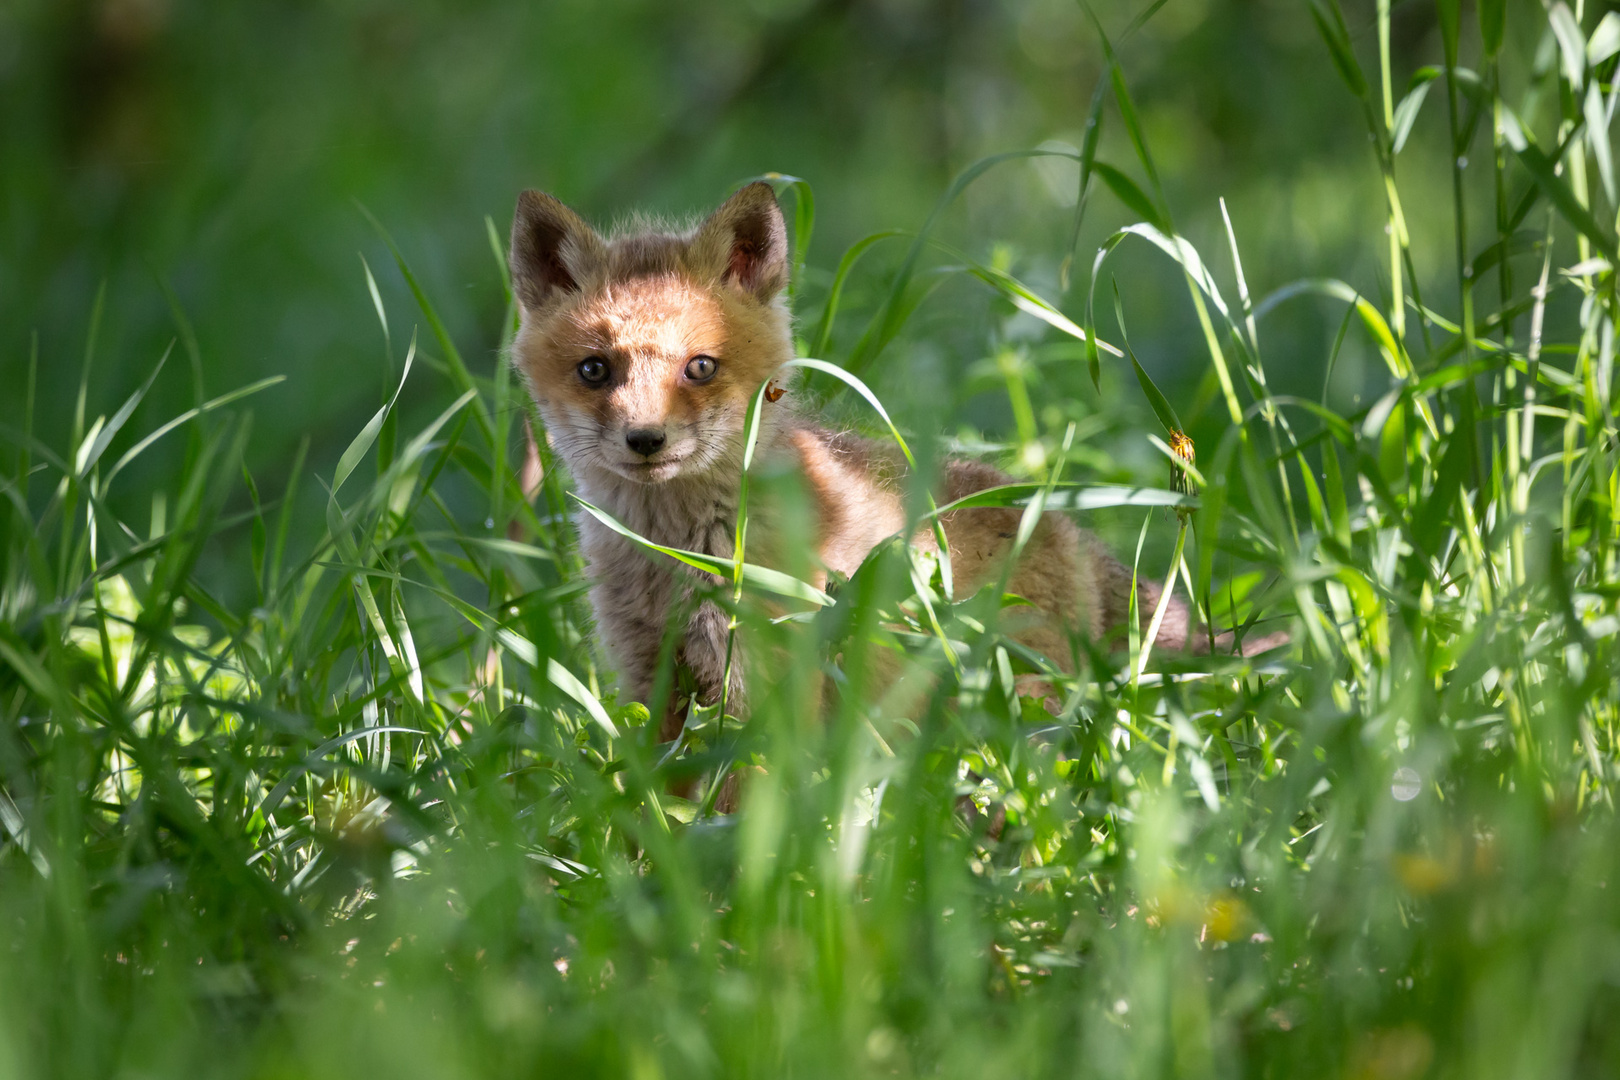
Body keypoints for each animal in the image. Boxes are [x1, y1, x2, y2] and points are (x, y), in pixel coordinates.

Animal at [511, 187, 1283, 744]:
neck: (671, 559)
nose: (646, 439)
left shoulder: (760, 682)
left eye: (699, 367)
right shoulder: (649, 681)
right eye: (595, 369)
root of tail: (1059, 518)